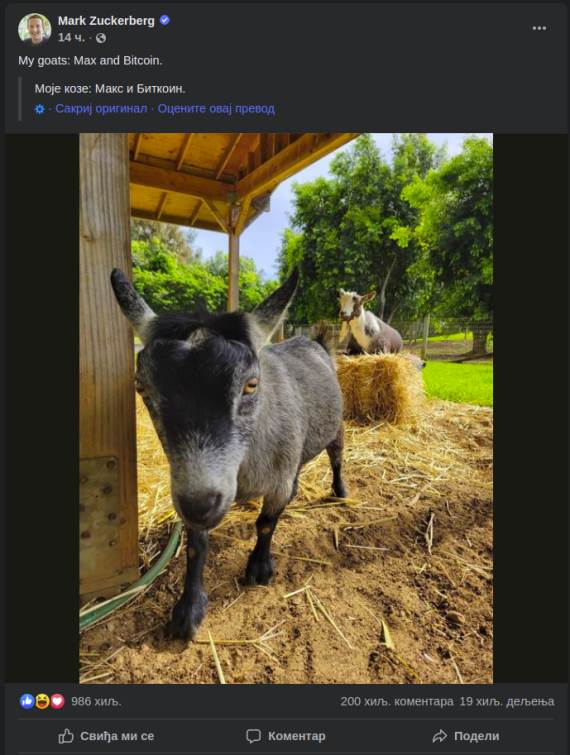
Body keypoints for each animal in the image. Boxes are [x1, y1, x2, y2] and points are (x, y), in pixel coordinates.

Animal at [111, 269, 347, 641]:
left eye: (251, 385)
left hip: (336, 426)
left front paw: (260, 569)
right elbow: (197, 544)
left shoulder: (276, 480)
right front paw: (189, 609)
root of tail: (316, 342)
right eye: (141, 387)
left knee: (336, 456)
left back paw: (340, 491)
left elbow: (267, 523)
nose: (201, 503)